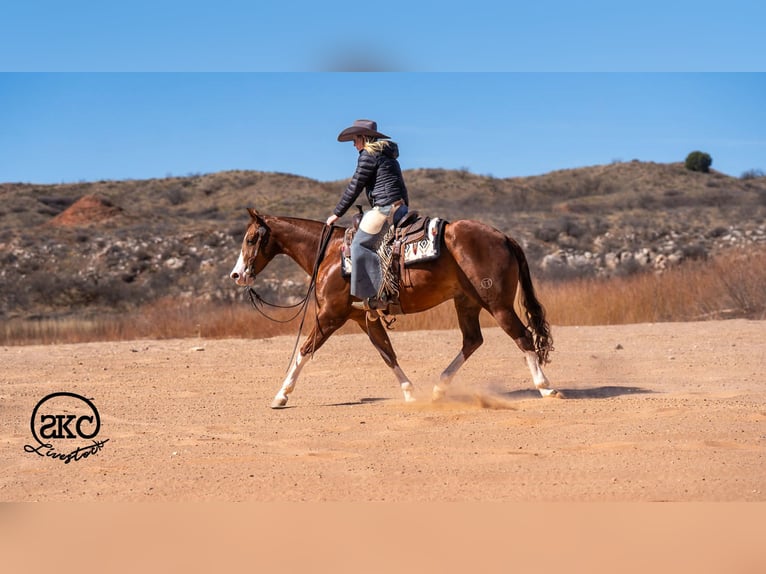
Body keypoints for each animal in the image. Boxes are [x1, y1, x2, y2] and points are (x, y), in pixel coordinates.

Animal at [230, 208, 559, 408]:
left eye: (251, 239)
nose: (237, 275)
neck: (332, 254)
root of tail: (503, 237)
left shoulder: (330, 314)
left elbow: (305, 350)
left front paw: (281, 395)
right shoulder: (363, 316)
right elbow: (386, 352)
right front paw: (410, 392)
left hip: (496, 303)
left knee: (522, 337)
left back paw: (545, 387)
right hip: (466, 302)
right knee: (472, 340)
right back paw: (439, 388)